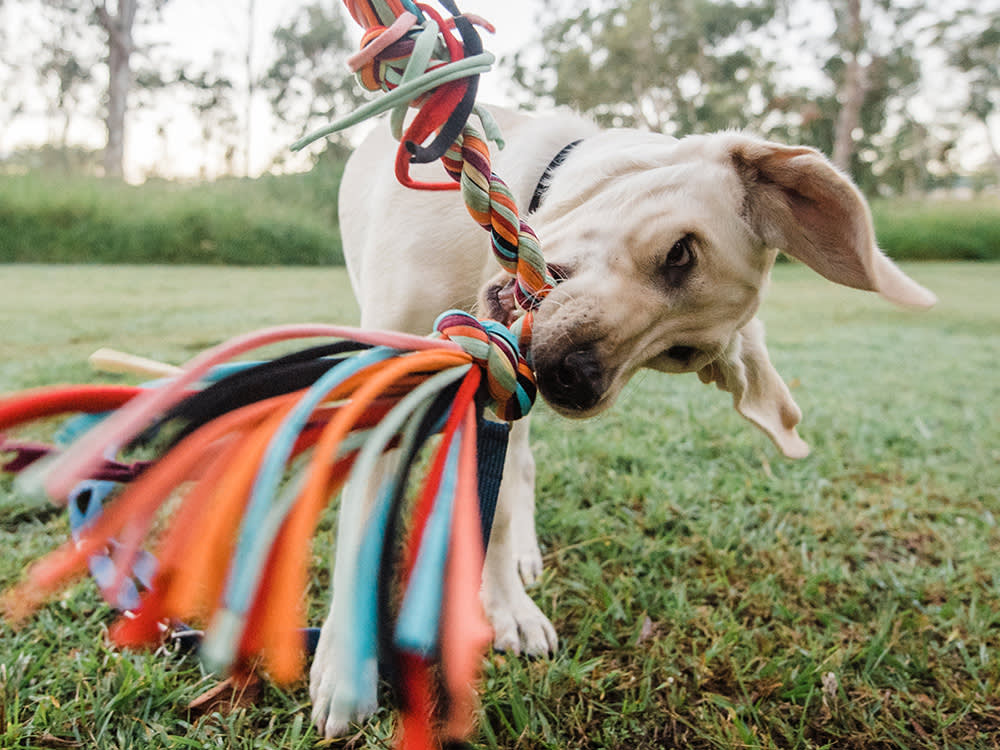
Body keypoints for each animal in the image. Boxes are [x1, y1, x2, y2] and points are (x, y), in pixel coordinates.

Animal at [306, 103, 936, 736]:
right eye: (680, 253)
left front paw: (506, 605)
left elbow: (500, 505)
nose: (578, 382)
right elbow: (362, 520)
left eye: (680, 354)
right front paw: (347, 664)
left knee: (519, 471)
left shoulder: (502, 386)